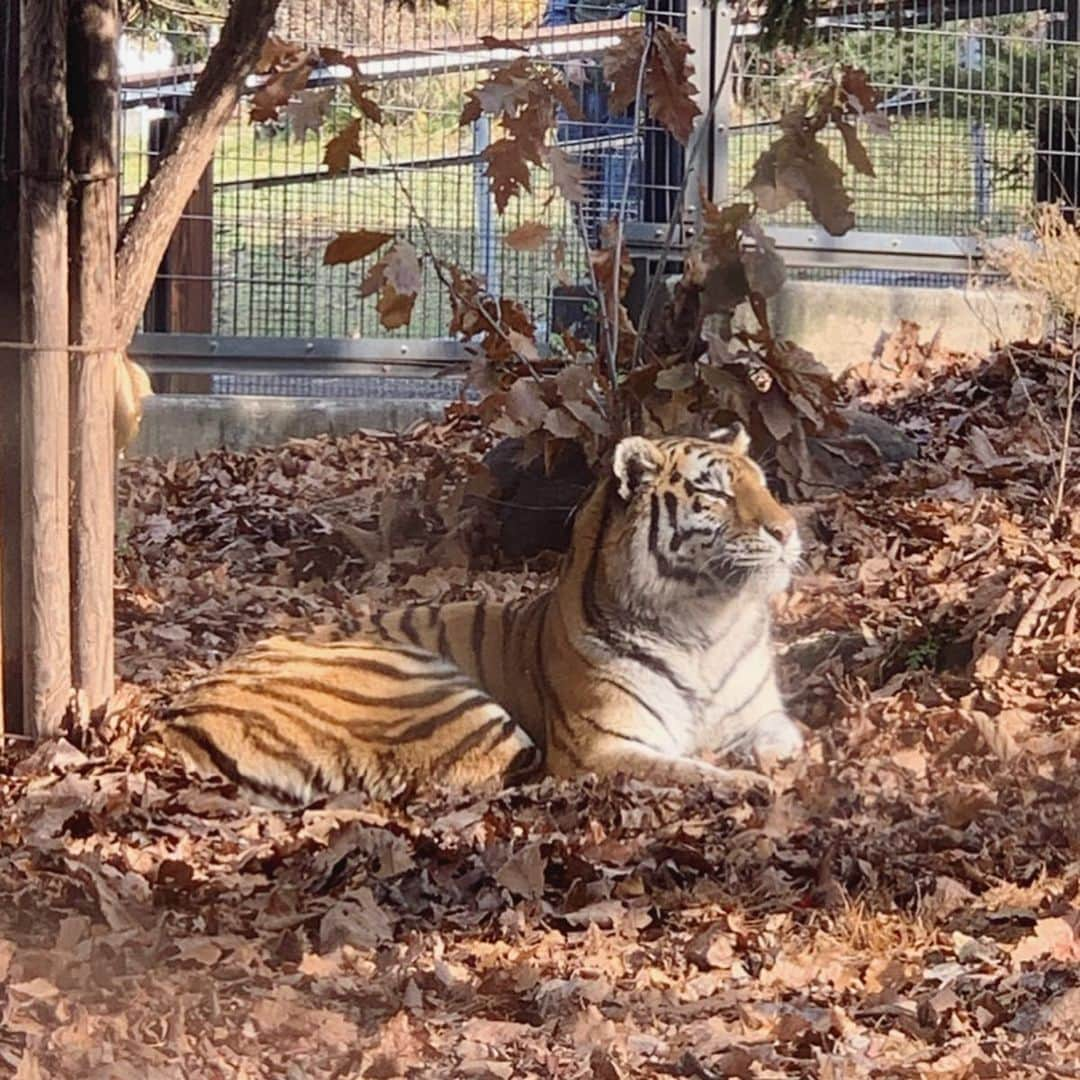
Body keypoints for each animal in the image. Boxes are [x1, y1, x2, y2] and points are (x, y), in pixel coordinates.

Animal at [156, 425, 807, 807]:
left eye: (766, 486)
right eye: (715, 494)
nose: (788, 529)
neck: (708, 628)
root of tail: (178, 720)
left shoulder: (765, 715)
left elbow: (790, 744)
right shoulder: (602, 746)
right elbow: (686, 770)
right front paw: (748, 782)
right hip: (442, 698)